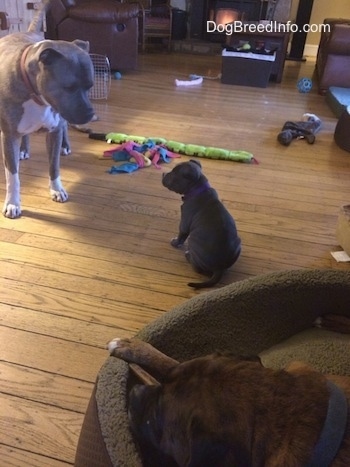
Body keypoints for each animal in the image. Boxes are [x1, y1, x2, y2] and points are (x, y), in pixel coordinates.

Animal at [0, 0, 94, 219]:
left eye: (90, 86)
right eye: (69, 87)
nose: (90, 114)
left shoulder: (54, 131)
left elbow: (54, 165)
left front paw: (57, 189)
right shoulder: (8, 136)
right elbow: (12, 175)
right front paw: (13, 202)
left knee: (65, 127)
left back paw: (65, 145)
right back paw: (23, 149)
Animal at [162, 159, 241, 288]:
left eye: (174, 174)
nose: (163, 174)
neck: (198, 189)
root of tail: (219, 268)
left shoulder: (184, 223)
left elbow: (181, 235)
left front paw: (175, 243)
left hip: (193, 242)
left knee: (197, 268)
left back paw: (188, 255)